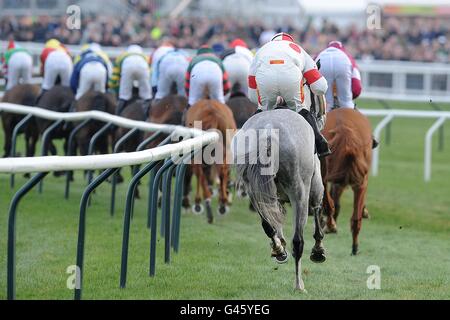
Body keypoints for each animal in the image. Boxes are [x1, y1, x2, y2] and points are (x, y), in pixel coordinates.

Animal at [234, 108, 326, 292]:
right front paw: (318, 250)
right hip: (299, 191)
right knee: (298, 241)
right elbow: (316, 207)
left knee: (267, 225)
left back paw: (278, 250)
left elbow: (276, 218)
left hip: (253, 189)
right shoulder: (315, 186)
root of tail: (269, 131)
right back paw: (298, 285)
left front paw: (279, 244)